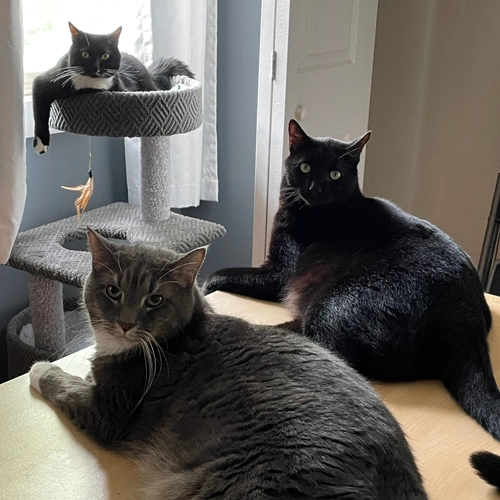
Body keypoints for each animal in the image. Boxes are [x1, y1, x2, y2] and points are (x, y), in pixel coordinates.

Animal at [30, 22, 191, 154]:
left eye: (105, 56)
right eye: (85, 54)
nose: (95, 68)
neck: (90, 84)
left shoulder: (122, 88)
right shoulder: (46, 81)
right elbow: (39, 112)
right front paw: (41, 143)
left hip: (147, 83)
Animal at [202, 120, 500, 442]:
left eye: (335, 174)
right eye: (305, 167)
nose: (315, 188)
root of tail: (467, 321)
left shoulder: (278, 272)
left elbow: (225, 273)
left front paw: (206, 285)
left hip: (335, 305)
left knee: (324, 346)